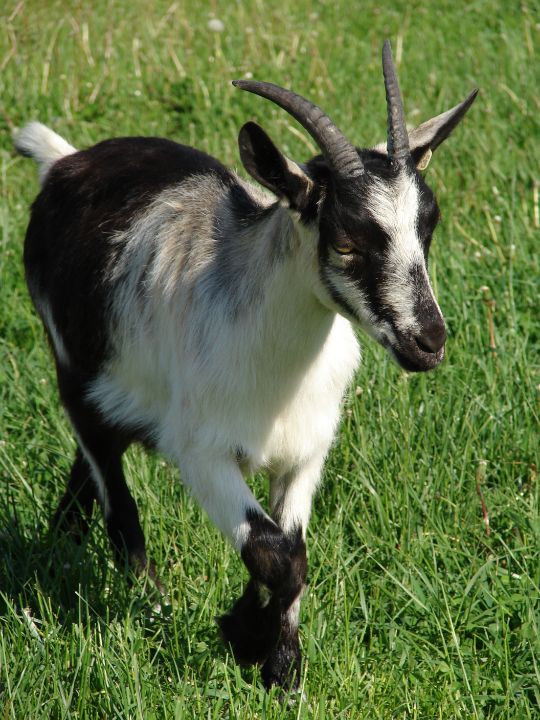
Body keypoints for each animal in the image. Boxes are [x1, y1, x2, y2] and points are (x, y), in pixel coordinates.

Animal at [14, 41, 476, 691]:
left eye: (428, 227)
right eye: (344, 243)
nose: (427, 340)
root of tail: (64, 163)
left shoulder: (306, 451)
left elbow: (290, 548)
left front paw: (281, 667)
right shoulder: (201, 451)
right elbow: (275, 554)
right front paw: (246, 637)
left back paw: (64, 540)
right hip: (72, 371)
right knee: (114, 491)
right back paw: (151, 602)